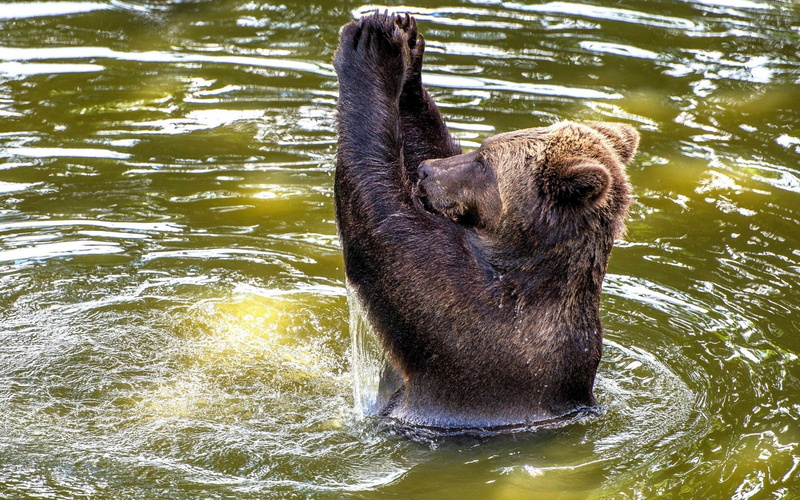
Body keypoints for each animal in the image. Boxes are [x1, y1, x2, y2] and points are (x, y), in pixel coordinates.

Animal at [333, 12, 639, 437]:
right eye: (479, 148)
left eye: (484, 161)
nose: (426, 172)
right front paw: (407, 46)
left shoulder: (467, 319)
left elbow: (381, 220)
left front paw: (372, 47)